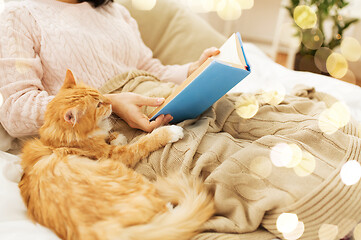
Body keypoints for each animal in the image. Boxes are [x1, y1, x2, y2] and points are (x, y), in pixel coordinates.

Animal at [18, 70, 214, 240]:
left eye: (99, 94)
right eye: (98, 105)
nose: (110, 100)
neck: (59, 142)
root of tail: (102, 231)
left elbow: (111, 136)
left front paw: (116, 136)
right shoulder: (115, 156)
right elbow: (143, 143)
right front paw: (168, 132)